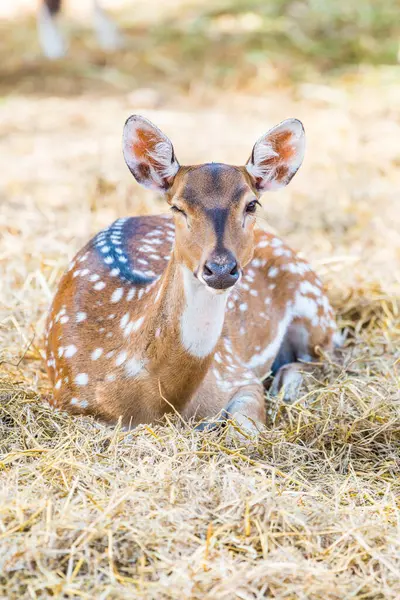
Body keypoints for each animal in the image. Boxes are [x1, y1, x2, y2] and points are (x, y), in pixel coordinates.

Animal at [44, 115, 338, 434]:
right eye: (177, 207)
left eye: (251, 204)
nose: (220, 268)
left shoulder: (237, 374)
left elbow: (248, 432)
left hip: (314, 304)